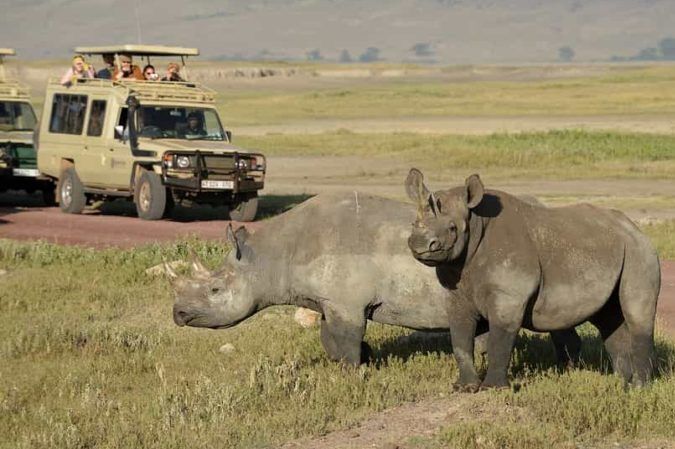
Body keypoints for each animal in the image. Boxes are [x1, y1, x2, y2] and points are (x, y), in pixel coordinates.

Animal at [171, 193, 580, 366]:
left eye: (215, 289)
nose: (177, 315)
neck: (270, 257)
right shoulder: (330, 301)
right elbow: (330, 338)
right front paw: (359, 362)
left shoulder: (347, 302)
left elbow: (346, 338)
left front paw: (353, 371)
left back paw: (568, 367)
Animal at [405, 169, 660, 389]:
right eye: (413, 224)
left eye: (452, 228)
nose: (419, 244)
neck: (476, 223)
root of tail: (635, 228)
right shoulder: (456, 292)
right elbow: (460, 338)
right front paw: (464, 387)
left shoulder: (510, 296)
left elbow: (500, 338)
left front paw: (494, 389)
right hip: (612, 251)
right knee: (607, 318)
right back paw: (620, 382)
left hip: (639, 251)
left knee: (637, 314)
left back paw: (638, 388)